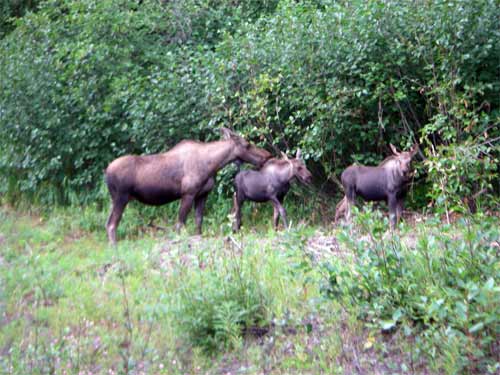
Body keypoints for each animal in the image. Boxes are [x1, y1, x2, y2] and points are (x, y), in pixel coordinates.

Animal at [103, 128, 272, 245]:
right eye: (247, 145)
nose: (267, 155)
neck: (212, 165)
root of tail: (106, 172)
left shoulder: (202, 194)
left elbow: (198, 222)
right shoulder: (188, 194)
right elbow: (180, 224)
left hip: (114, 199)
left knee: (108, 223)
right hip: (121, 197)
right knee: (111, 224)